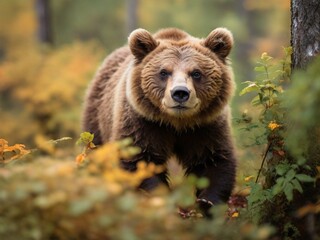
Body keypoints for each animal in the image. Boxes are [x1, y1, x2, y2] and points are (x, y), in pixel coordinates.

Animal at [82, 27, 238, 217]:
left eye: (196, 73)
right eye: (164, 72)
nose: (180, 93)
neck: (176, 123)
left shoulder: (205, 127)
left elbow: (213, 160)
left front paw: (207, 203)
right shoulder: (143, 123)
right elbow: (139, 160)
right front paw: (162, 200)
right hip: (97, 117)